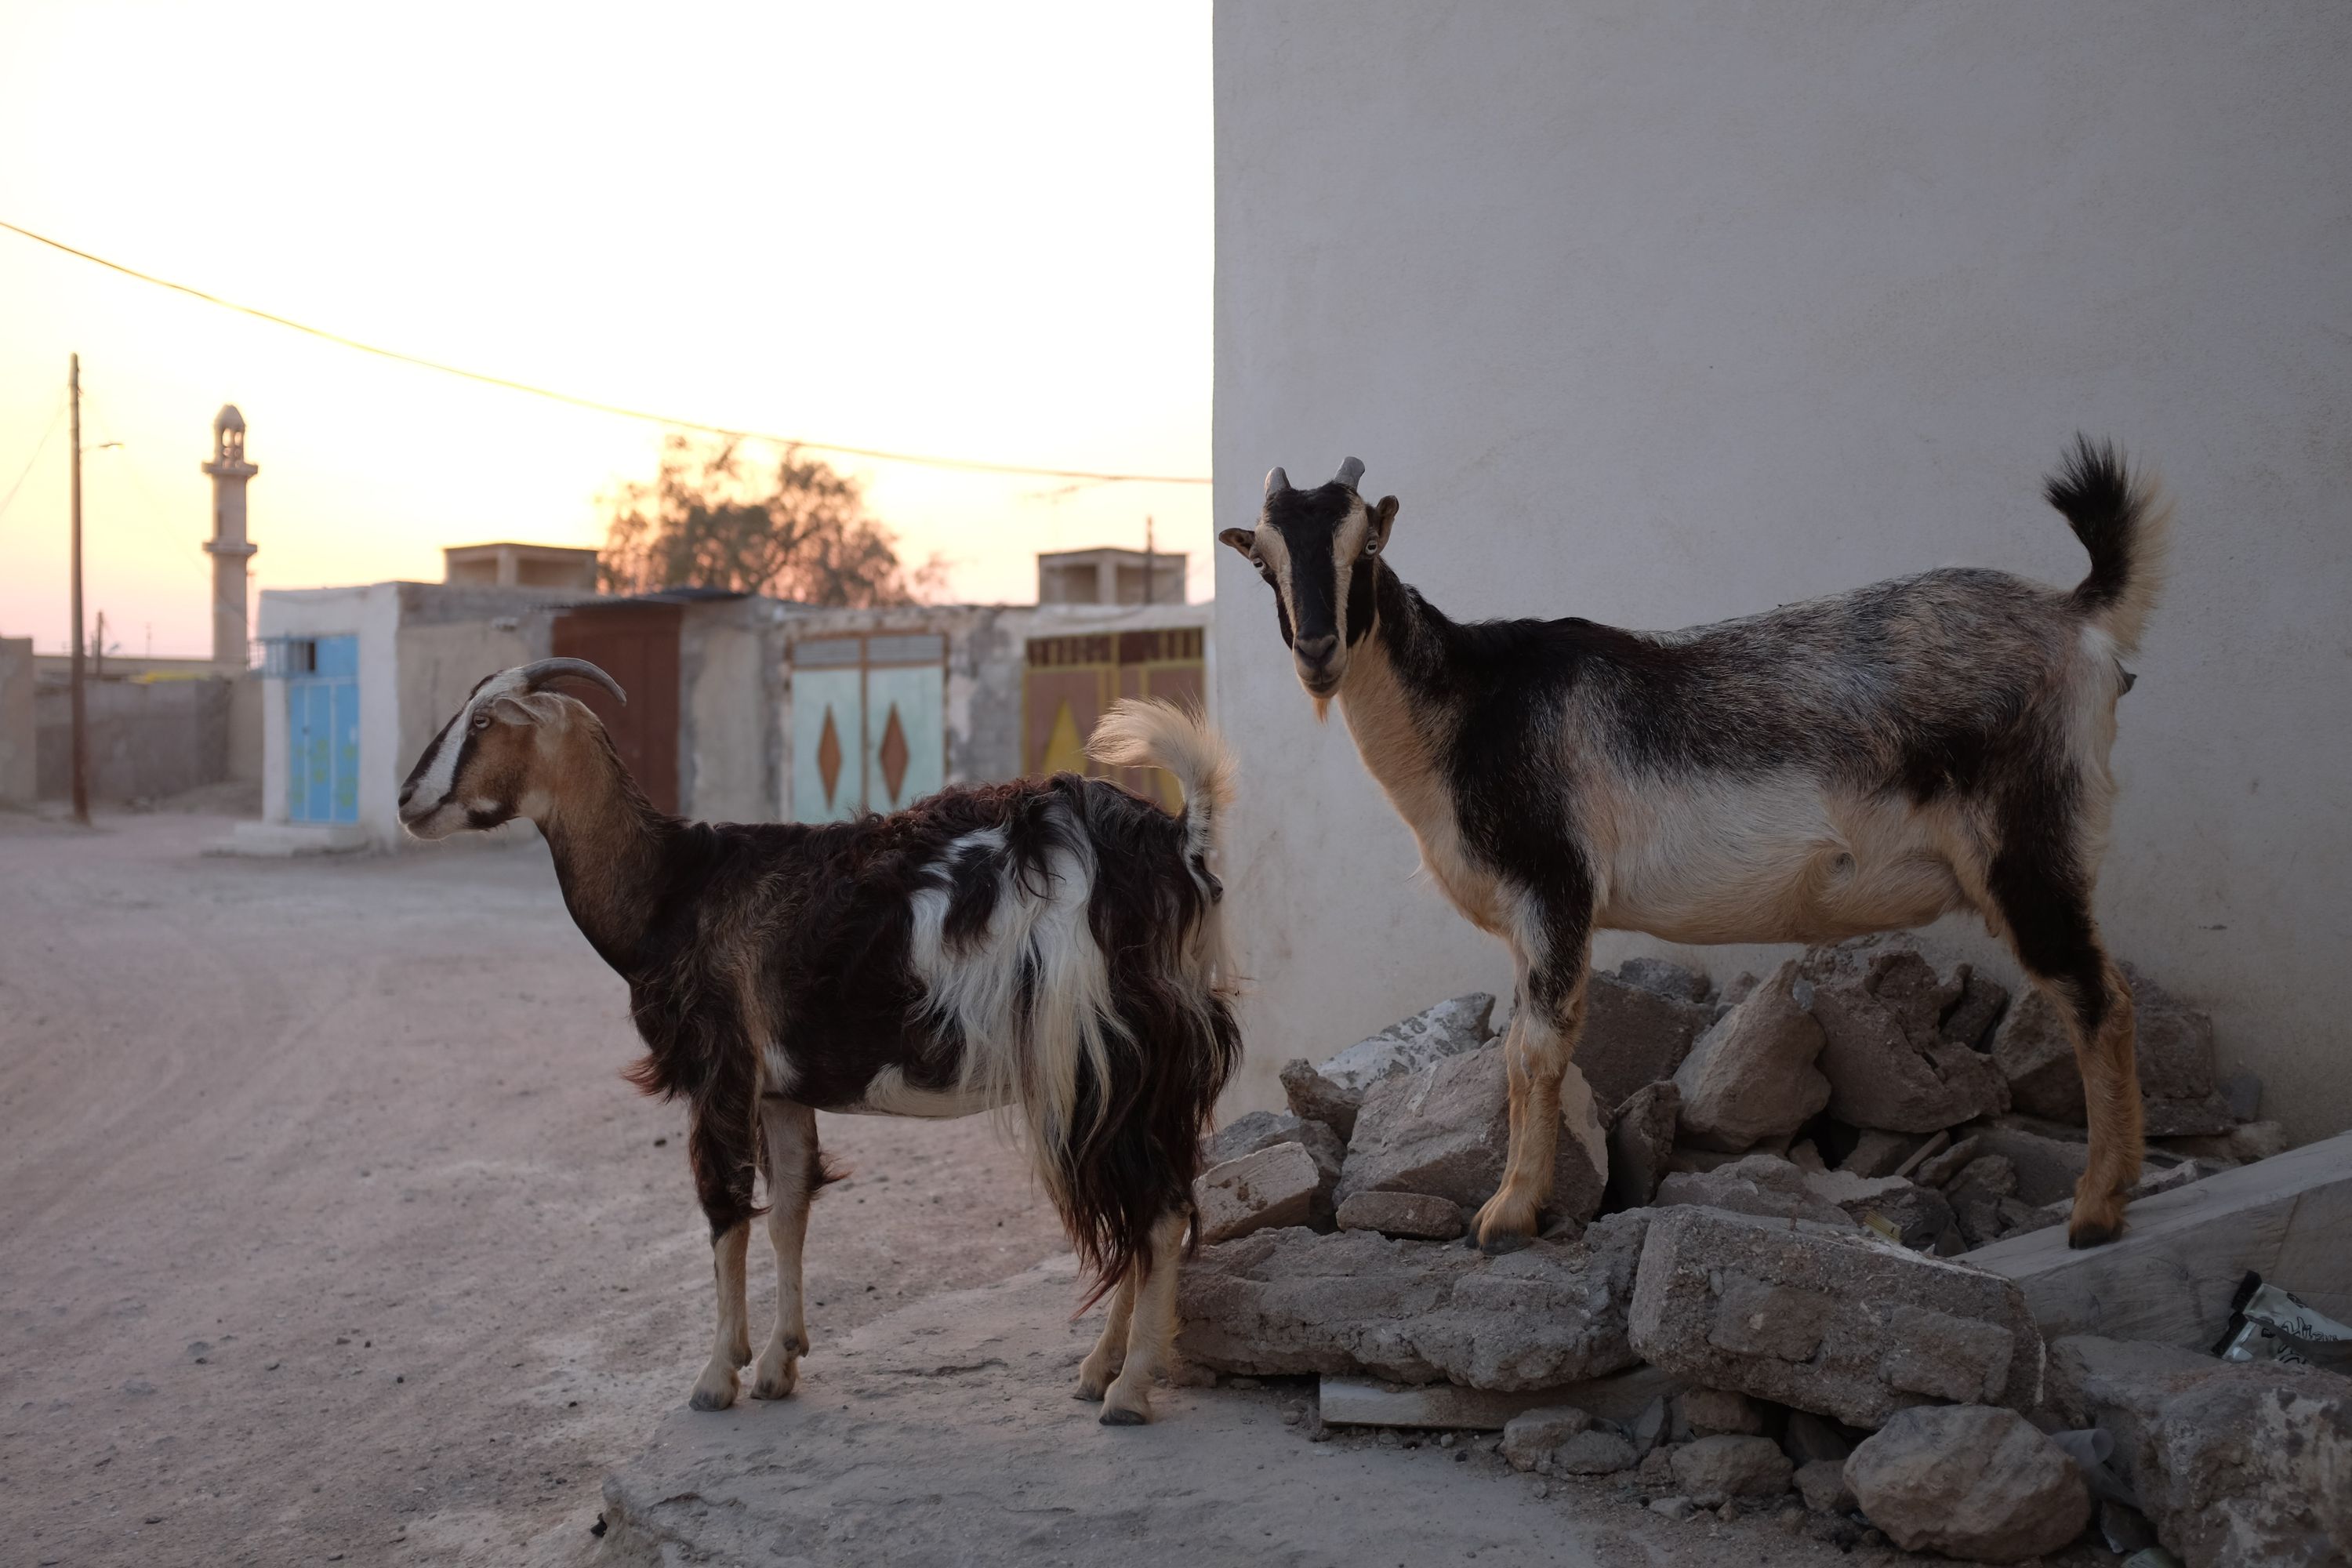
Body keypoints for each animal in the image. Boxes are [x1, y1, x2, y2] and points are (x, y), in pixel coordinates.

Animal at [400, 667, 1251, 1429]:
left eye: (483, 722)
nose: (407, 801)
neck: (673, 886)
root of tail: (1180, 840)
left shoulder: (722, 1068)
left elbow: (725, 1211)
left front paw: (716, 1377)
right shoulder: (780, 1088)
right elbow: (789, 1210)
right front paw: (779, 1363)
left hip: (1108, 1053)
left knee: (1157, 1213)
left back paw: (1128, 1390)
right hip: (1138, 1077)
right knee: (1149, 1208)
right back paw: (1099, 1368)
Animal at [1232, 441, 2164, 1250]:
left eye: (1367, 543)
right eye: (1263, 561)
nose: (1318, 649)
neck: (1473, 701)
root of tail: (2079, 618)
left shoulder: (1556, 887)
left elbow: (1535, 1050)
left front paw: (1506, 1217)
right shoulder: (1529, 919)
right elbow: (1517, 1054)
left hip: (2031, 844)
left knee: (2098, 998)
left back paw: (2096, 1208)